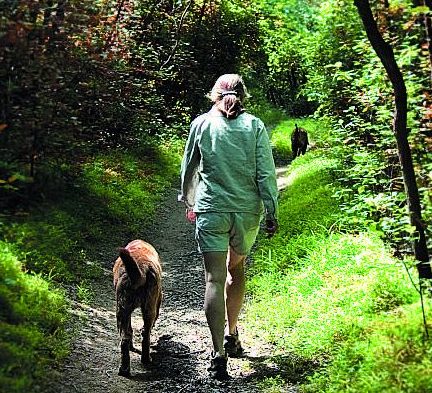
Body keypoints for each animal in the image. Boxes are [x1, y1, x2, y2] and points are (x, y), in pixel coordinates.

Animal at [112, 237, 163, 376]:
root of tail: (141, 270)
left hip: (122, 309)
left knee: (125, 338)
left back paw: (124, 369)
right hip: (149, 308)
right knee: (145, 333)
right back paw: (146, 359)